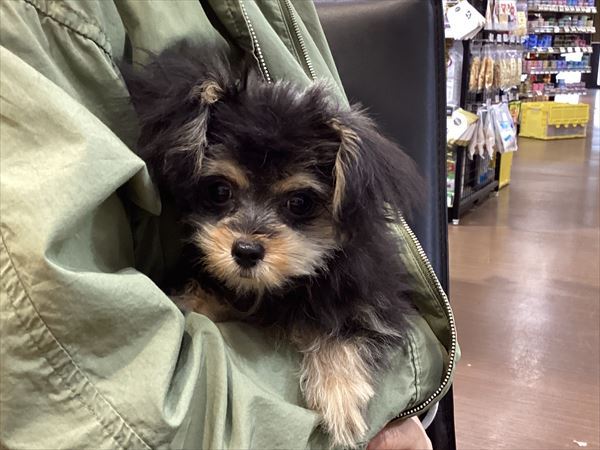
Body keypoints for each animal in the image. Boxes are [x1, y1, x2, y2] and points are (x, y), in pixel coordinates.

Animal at [123, 43, 423, 448]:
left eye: (299, 202)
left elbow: (344, 327)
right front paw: (191, 300)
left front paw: (339, 395)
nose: (246, 252)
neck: (282, 288)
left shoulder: (376, 298)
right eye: (220, 190)